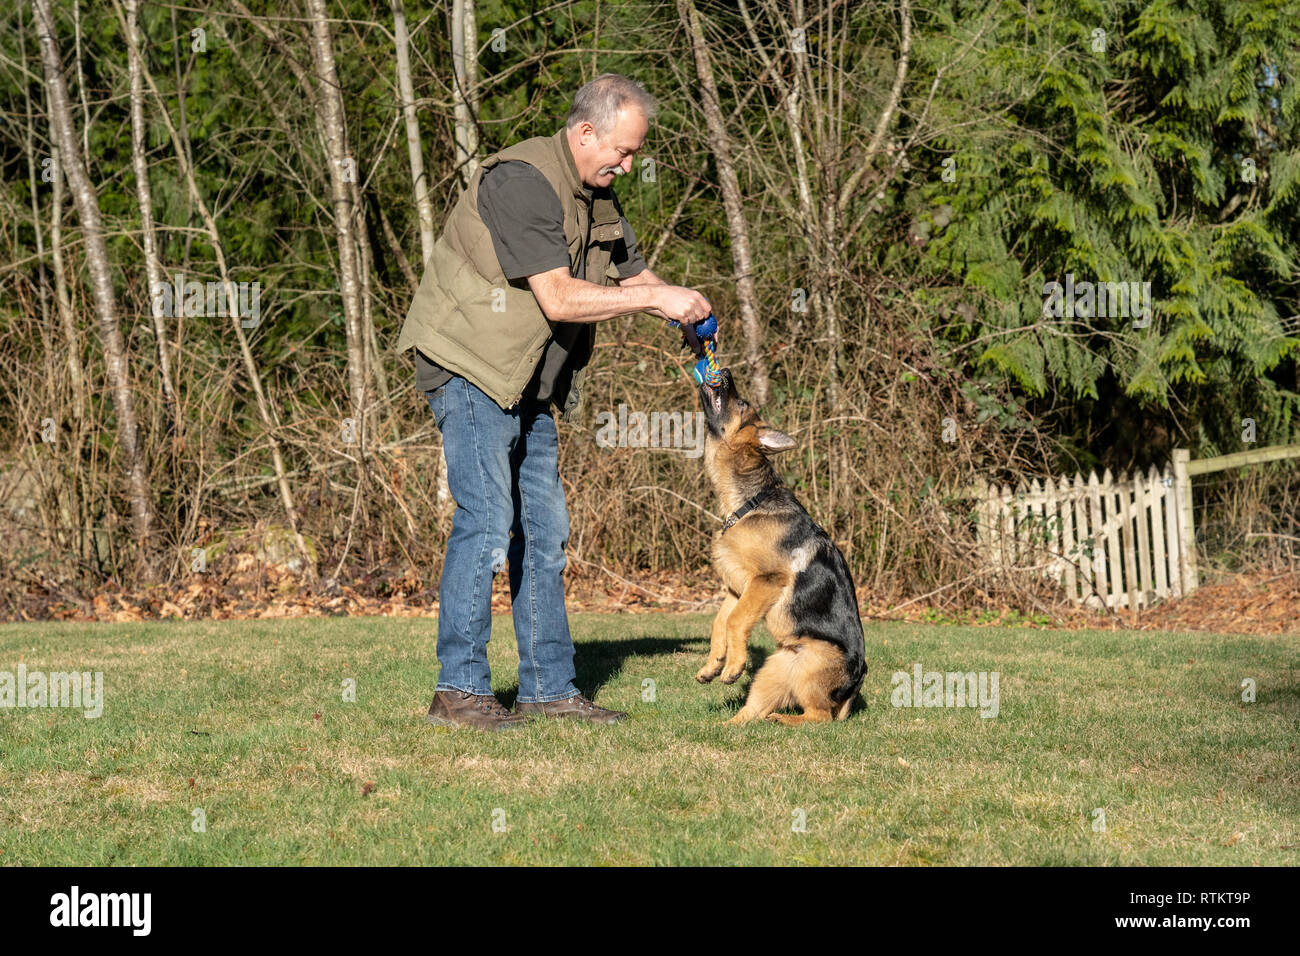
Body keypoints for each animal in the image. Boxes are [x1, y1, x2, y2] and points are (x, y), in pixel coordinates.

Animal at [696, 369, 868, 723]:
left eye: (742, 403)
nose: (726, 372)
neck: (750, 501)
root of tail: (856, 685)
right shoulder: (738, 589)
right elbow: (720, 622)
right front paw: (713, 664)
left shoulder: (766, 581)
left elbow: (734, 621)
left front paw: (733, 666)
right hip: (775, 667)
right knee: (753, 712)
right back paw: (728, 725)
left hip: (808, 667)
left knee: (818, 717)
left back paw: (782, 720)